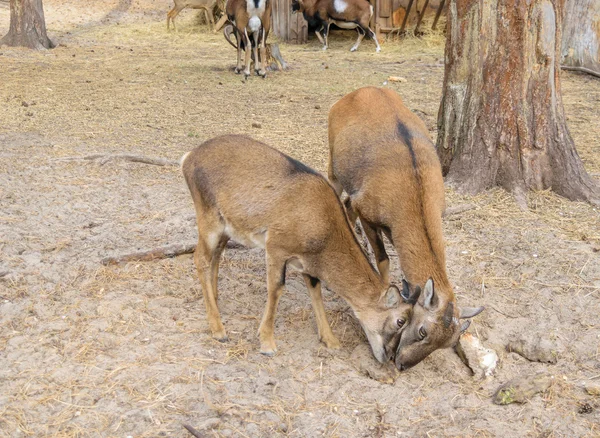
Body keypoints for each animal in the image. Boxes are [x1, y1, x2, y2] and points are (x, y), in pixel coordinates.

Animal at [180, 136, 420, 362]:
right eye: (400, 320)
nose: (390, 357)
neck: (323, 225)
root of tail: (189, 158)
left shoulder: (306, 263)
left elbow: (316, 291)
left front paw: (331, 340)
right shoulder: (276, 247)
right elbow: (276, 288)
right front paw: (267, 343)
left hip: (225, 228)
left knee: (216, 256)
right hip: (209, 219)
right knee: (200, 259)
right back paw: (218, 329)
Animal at [328, 87, 482, 372]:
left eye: (445, 344)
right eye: (422, 331)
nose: (401, 365)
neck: (413, 187)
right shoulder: (370, 214)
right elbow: (383, 260)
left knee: (346, 205)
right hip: (333, 164)